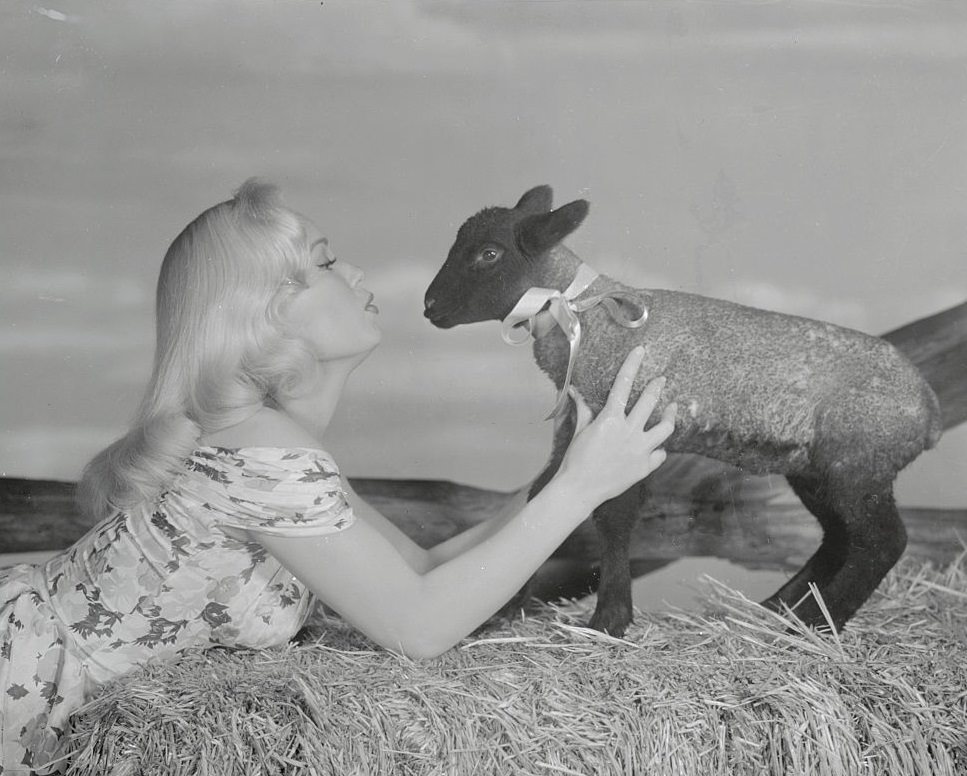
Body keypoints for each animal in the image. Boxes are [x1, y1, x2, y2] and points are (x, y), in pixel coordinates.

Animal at [426, 185, 944, 632]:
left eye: (488, 254)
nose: (429, 306)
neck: (583, 317)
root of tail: (927, 404)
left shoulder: (629, 426)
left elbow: (613, 518)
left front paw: (609, 619)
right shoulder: (577, 427)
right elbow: (541, 498)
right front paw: (502, 610)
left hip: (858, 462)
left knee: (881, 542)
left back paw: (818, 623)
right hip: (816, 468)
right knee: (839, 538)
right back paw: (779, 609)